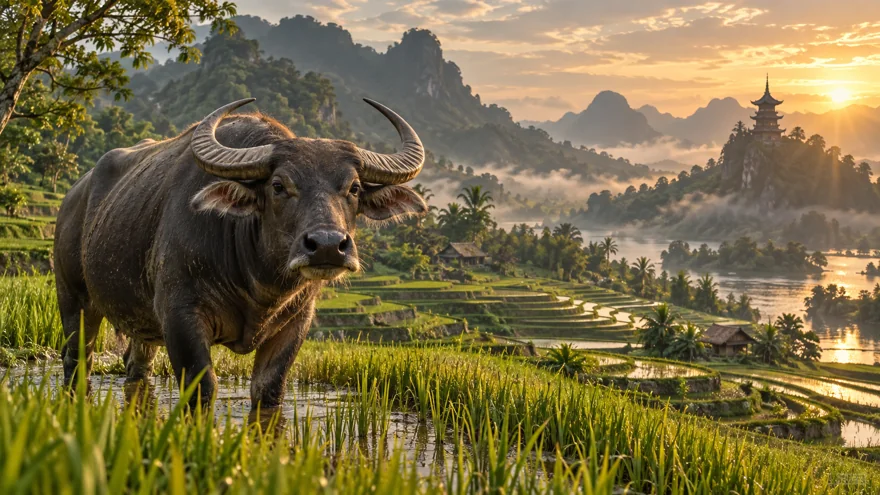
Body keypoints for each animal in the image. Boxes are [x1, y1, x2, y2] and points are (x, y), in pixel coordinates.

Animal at [54, 98, 426, 421]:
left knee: (136, 368)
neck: (258, 285)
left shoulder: (296, 322)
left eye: (353, 188)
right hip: (73, 298)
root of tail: (74, 196)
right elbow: (202, 388)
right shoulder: (179, 313)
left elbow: (269, 390)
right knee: (77, 359)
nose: (327, 246)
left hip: (143, 328)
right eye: (278, 186)